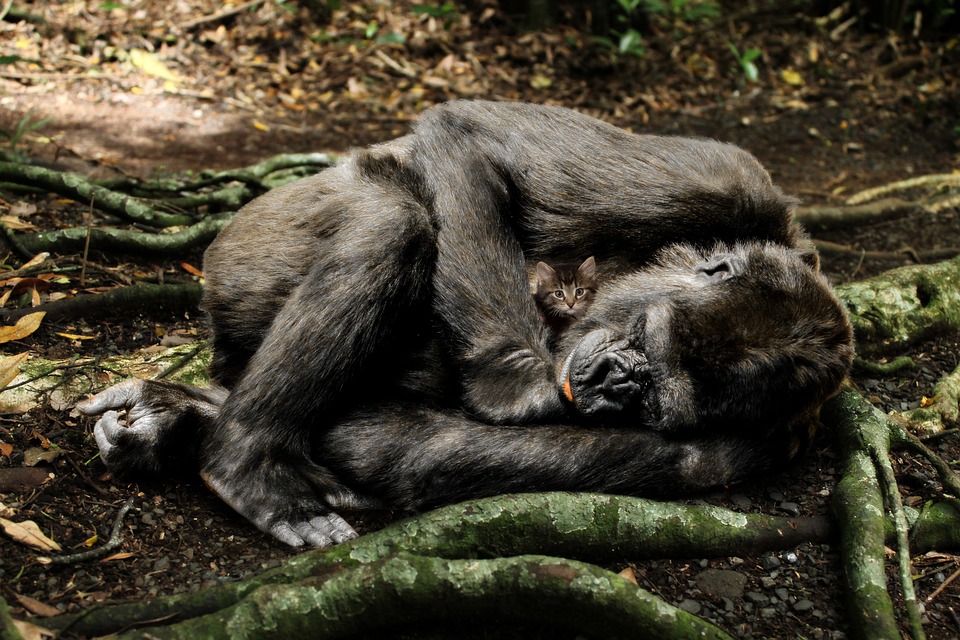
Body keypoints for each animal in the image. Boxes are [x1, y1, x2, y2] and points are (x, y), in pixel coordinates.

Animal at [79, 100, 852, 544]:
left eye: (657, 399)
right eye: (642, 340)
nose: (619, 382)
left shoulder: (765, 443)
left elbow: (409, 448)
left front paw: (183, 418)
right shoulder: (725, 178)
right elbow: (472, 138)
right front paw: (517, 383)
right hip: (243, 254)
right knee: (394, 218)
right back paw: (243, 461)